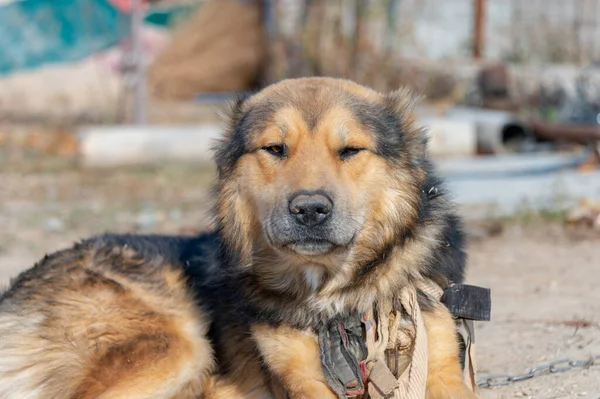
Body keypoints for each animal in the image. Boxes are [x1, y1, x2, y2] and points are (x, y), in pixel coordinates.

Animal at [1, 76, 478, 398]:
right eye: (275, 149)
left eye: (350, 151)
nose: (309, 210)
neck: (334, 299)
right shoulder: (300, 378)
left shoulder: (436, 361)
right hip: (173, 345)